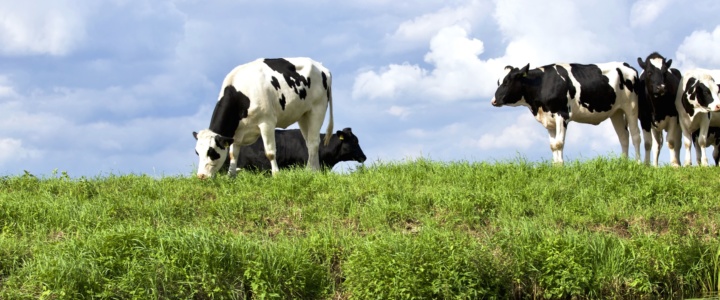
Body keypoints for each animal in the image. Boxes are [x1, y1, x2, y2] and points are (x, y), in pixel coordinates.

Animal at [193, 56, 336, 178]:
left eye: (211, 152)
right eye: (197, 152)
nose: (201, 176)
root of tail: (321, 67)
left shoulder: (267, 122)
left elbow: (270, 152)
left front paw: (276, 175)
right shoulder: (237, 132)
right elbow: (233, 154)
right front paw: (230, 176)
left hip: (317, 109)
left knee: (313, 142)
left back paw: (309, 171)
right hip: (304, 114)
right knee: (310, 142)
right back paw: (315, 170)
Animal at [492, 61, 644, 164]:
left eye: (507, 81)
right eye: (498, 82)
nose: (494, 101)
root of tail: (626, 65)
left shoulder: (562, 114)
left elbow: (559, 143)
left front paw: (561, 166)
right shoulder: (549, 119)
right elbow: (553, 145)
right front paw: (555, 166)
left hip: (631, 107)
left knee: (636, 135)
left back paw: (637, 164)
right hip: (616, 112)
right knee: (623, 136)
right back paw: (623, 163)